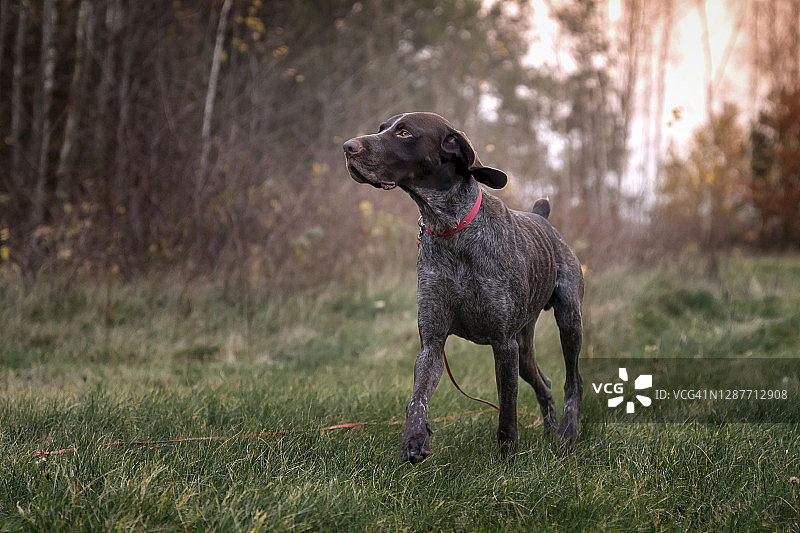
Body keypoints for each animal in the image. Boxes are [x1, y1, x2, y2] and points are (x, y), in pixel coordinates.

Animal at [342, 112, 580, 462]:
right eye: (382, 127)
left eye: (404, 132)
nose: (347, 147)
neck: (450, 229)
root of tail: (544, 219)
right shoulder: (433, 341)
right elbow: (417, 399)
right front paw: (414, 439)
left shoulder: (503, 343)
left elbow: (507, 411)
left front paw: (508, 457)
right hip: (524, 347)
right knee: (545, 383)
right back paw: (550, 430)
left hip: (568, 323)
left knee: (572, 381)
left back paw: (567, 432)